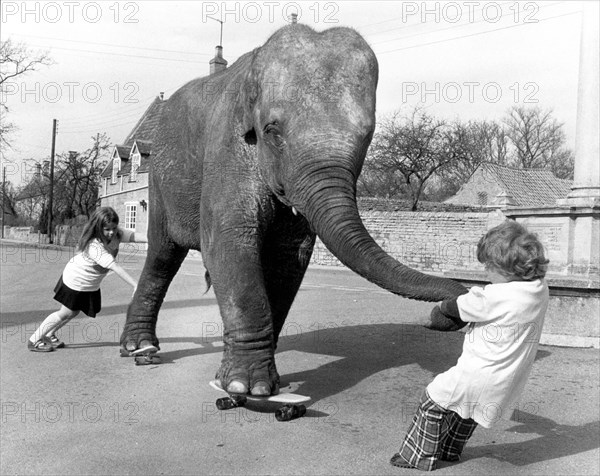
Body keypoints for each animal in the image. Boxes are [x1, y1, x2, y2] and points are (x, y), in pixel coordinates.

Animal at [120, 23, 468, 394]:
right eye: (272, 130)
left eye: (368, 135)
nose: (441, 316)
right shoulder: (226, 145)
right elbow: (228, 242)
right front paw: (247, 387)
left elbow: (289, 257)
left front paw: (262, 382)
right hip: (160, 183)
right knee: (162, 255)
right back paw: (140, 348)